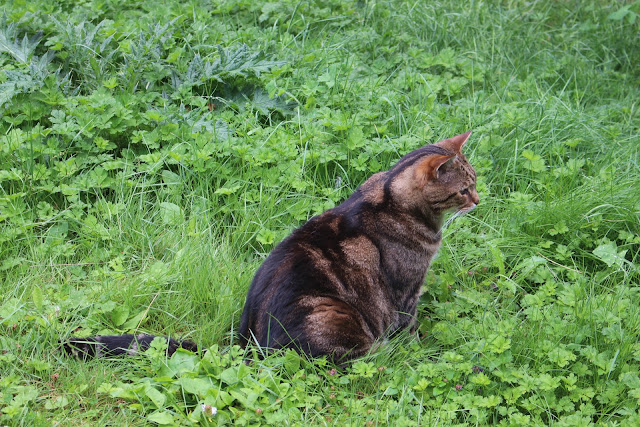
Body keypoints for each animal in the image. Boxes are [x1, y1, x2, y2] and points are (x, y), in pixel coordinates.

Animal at [65, 130, 478, 362]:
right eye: (463, 189)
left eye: (474, 181)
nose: (478, 199)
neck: (389, 195)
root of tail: (247, 345)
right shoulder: (405, 291)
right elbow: (410, 328)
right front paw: (422, 351)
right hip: (330, 313)